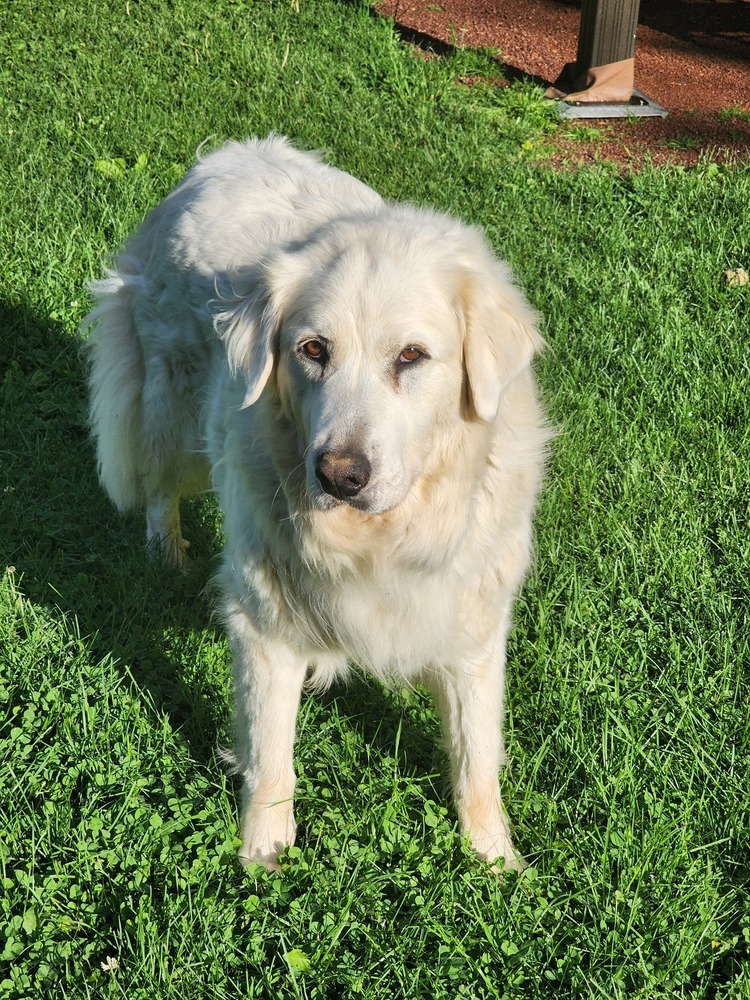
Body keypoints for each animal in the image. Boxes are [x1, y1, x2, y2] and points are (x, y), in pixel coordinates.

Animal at [83, 137, 552, 872]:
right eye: (312, 350)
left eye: (411, 356)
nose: (339, 476)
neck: (381, 538)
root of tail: (224, 155)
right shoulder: (265, 622)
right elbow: (270, 752)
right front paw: (263, 853)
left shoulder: (471, 627)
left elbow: (478, 757)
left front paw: (495, 860)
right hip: (172, 411)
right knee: (160, 490)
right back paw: (168, 555)